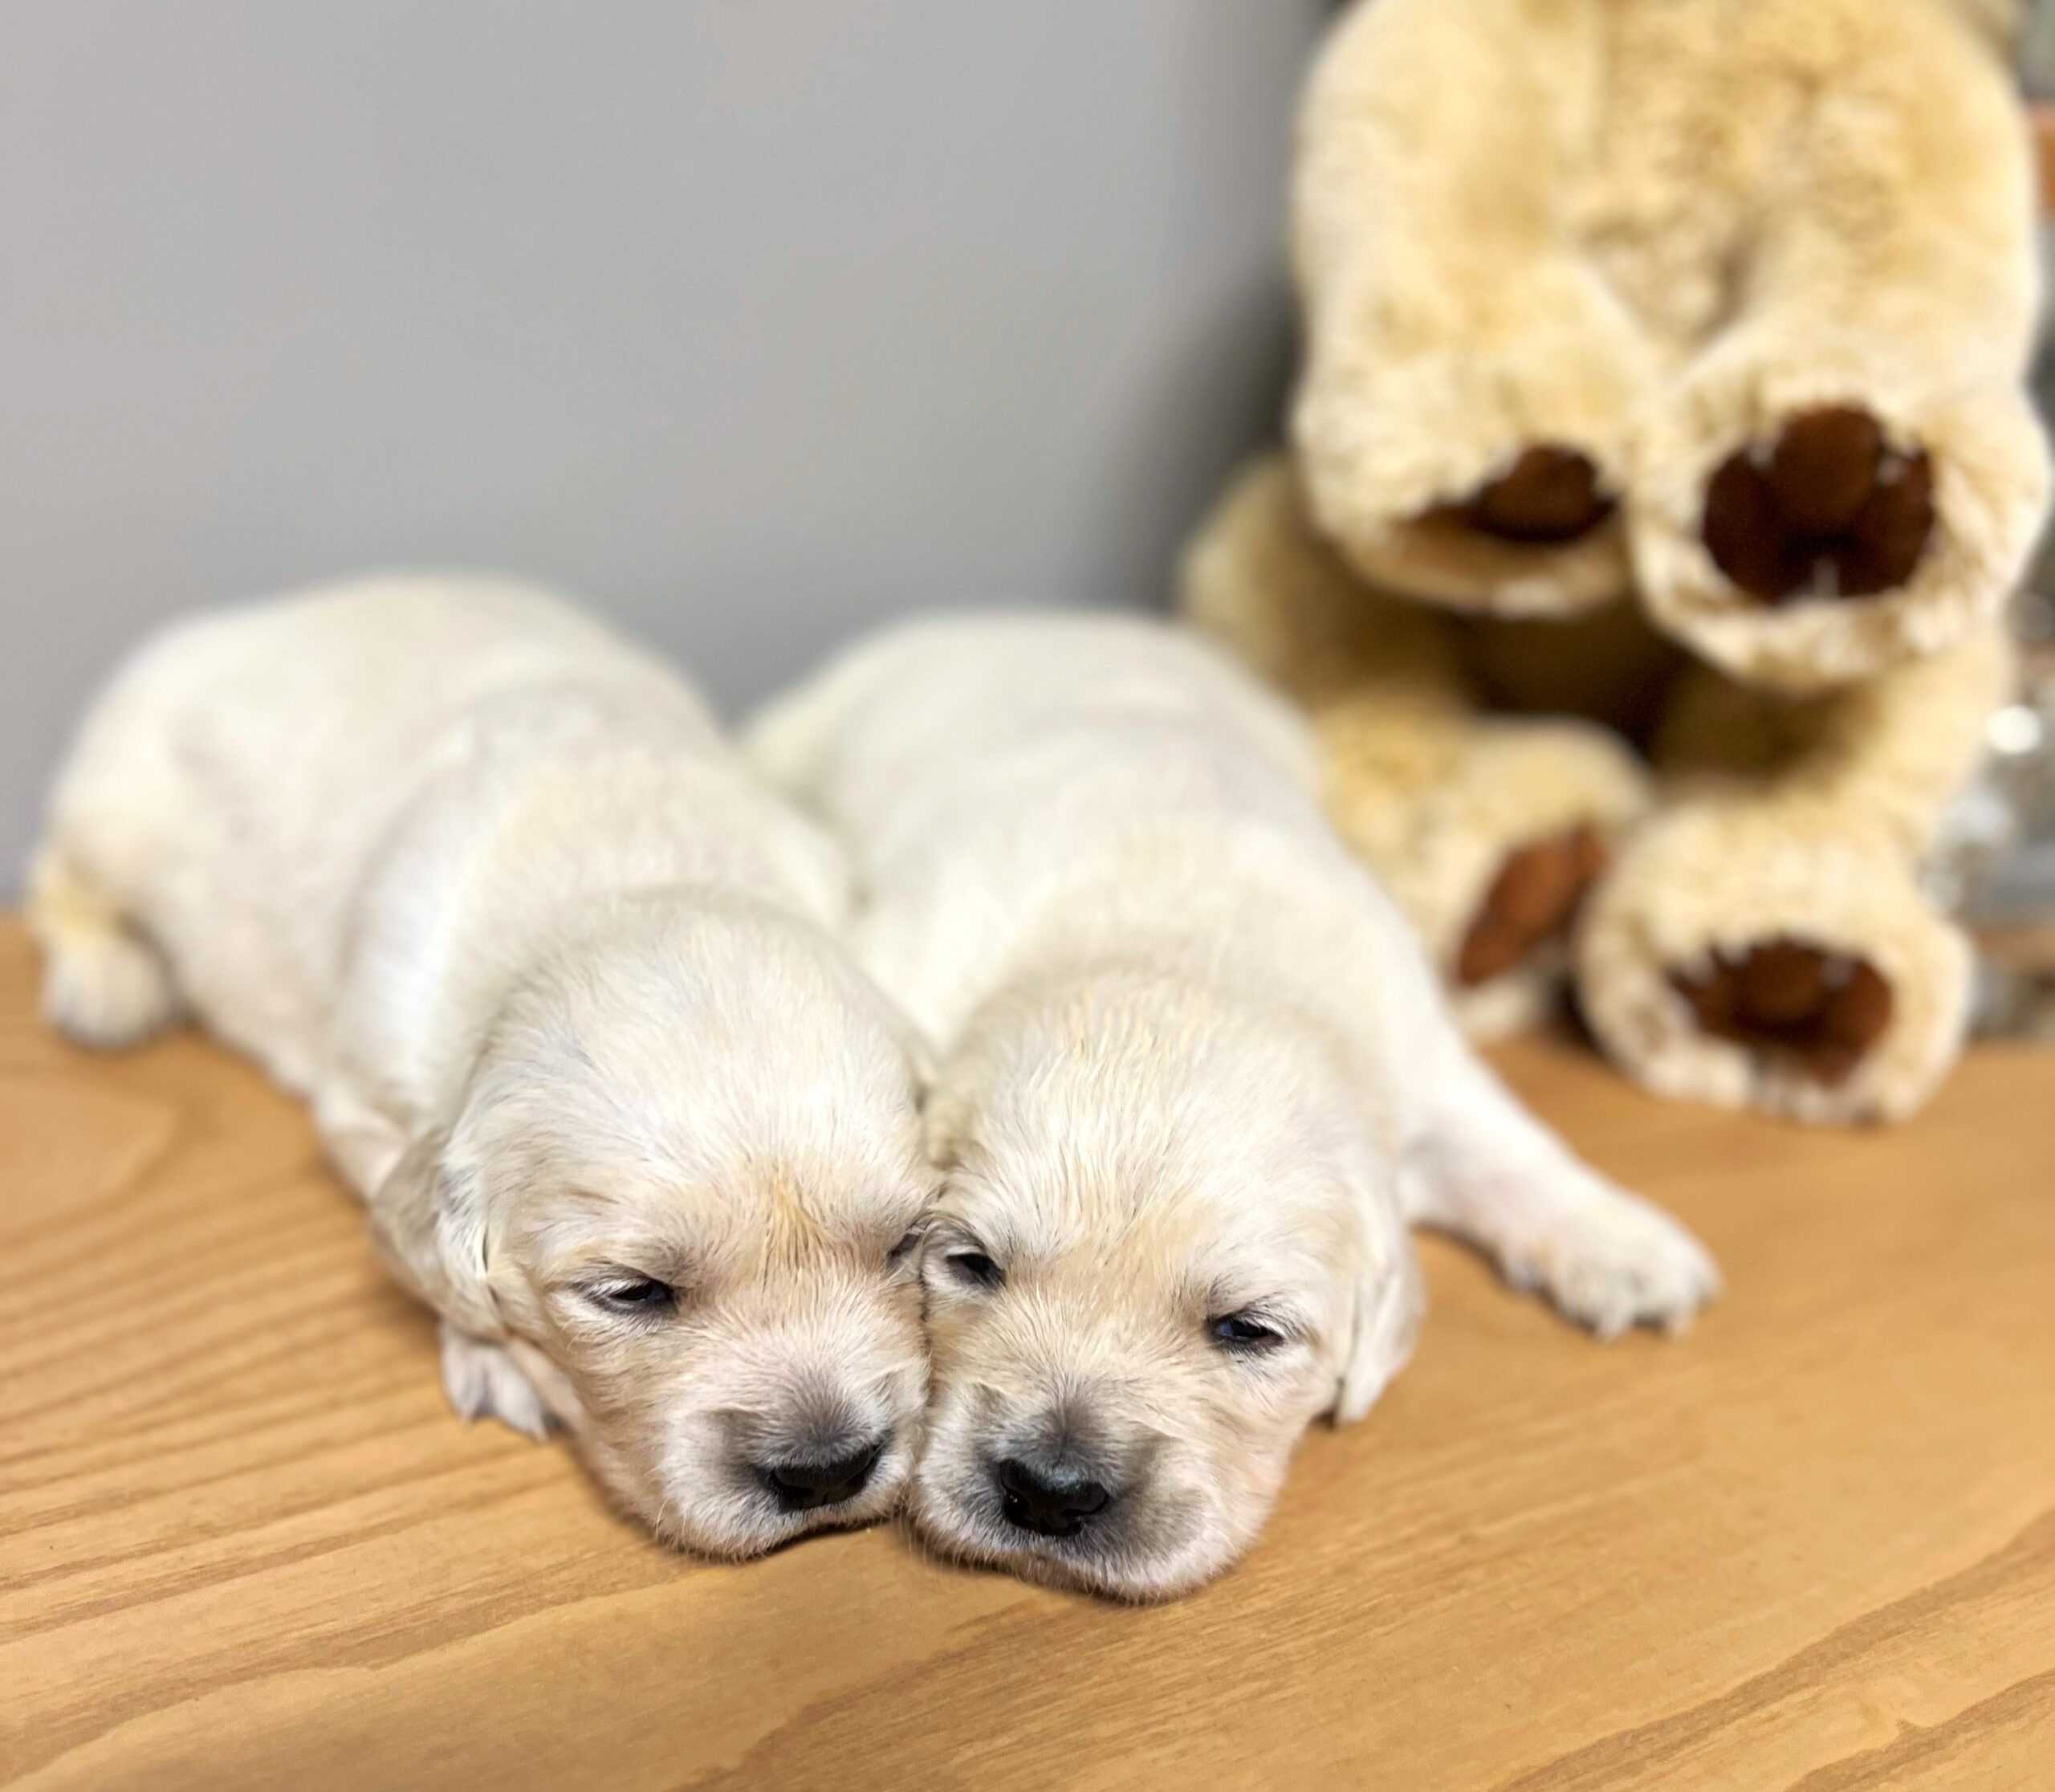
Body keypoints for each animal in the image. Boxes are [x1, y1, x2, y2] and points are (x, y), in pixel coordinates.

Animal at [30, 583, 933, 1554]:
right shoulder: (363, 1093)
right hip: (118, 807)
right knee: (57, 874)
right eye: (632, 1294)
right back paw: (108, 986)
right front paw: (491, 1356)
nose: (829, 1469)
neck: (631, 880)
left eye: (904, 1245)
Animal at [751, 612, 1718, 1594]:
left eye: (1247, 1331)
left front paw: (1625, 1246)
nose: (1050, 1493)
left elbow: (1503, 1145)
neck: (1186, 949)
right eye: (972, 1266)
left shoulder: (1414, 1044)